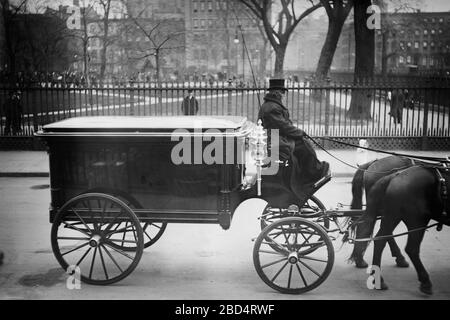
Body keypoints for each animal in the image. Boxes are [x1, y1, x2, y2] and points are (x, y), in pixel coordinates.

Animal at [352, 165, 450, 296]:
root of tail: (394, 176)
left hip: (392, 216)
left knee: (380, 239)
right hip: (416, 220)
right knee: (411, 249)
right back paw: (425, 282)